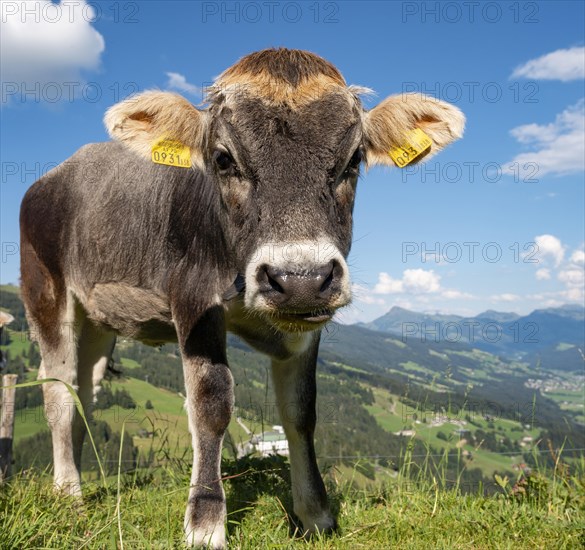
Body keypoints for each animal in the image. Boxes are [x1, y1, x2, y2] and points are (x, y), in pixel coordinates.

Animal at [20, 48, 464, 548]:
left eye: (353, 160)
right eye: (223, 159)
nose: (300, 278)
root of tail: (58, 173)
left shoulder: (308, 324)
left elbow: (301, 410)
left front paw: (316, 514)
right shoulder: (193, 299)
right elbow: (211, 404)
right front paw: (205, 521)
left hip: (97, 319)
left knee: (85, 392)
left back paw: (77, 480)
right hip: (44, 288)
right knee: (58, 392)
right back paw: (69, 495)